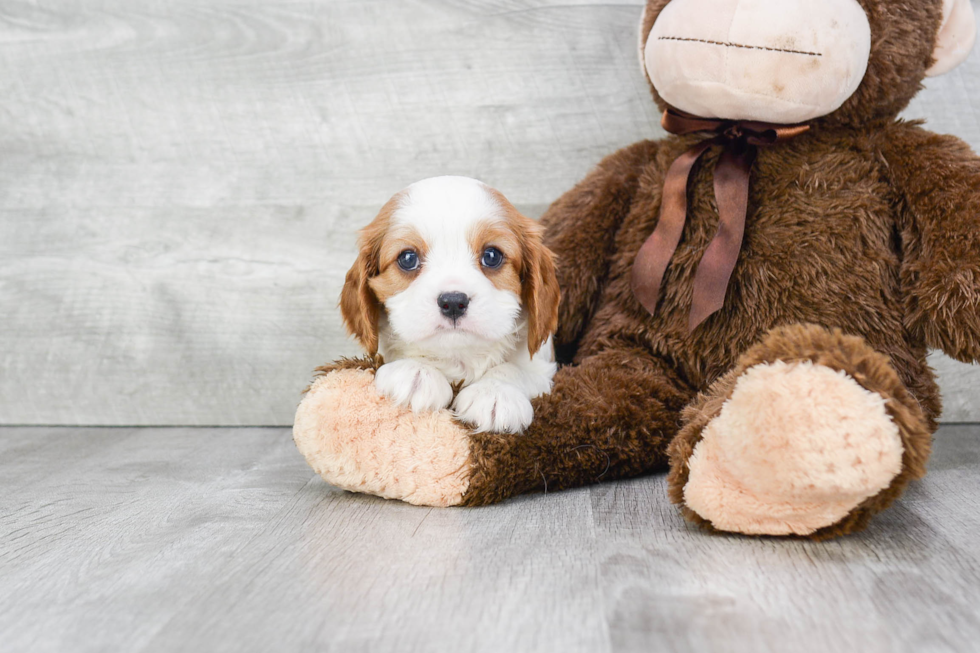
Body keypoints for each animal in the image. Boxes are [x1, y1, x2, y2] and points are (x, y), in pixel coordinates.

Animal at [342, 178, 560, 432]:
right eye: (407, 258)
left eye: (492, 256)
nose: (453, 302)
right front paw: (415, 371)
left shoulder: (545, 369)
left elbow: (517, 370)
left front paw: (495, 391)